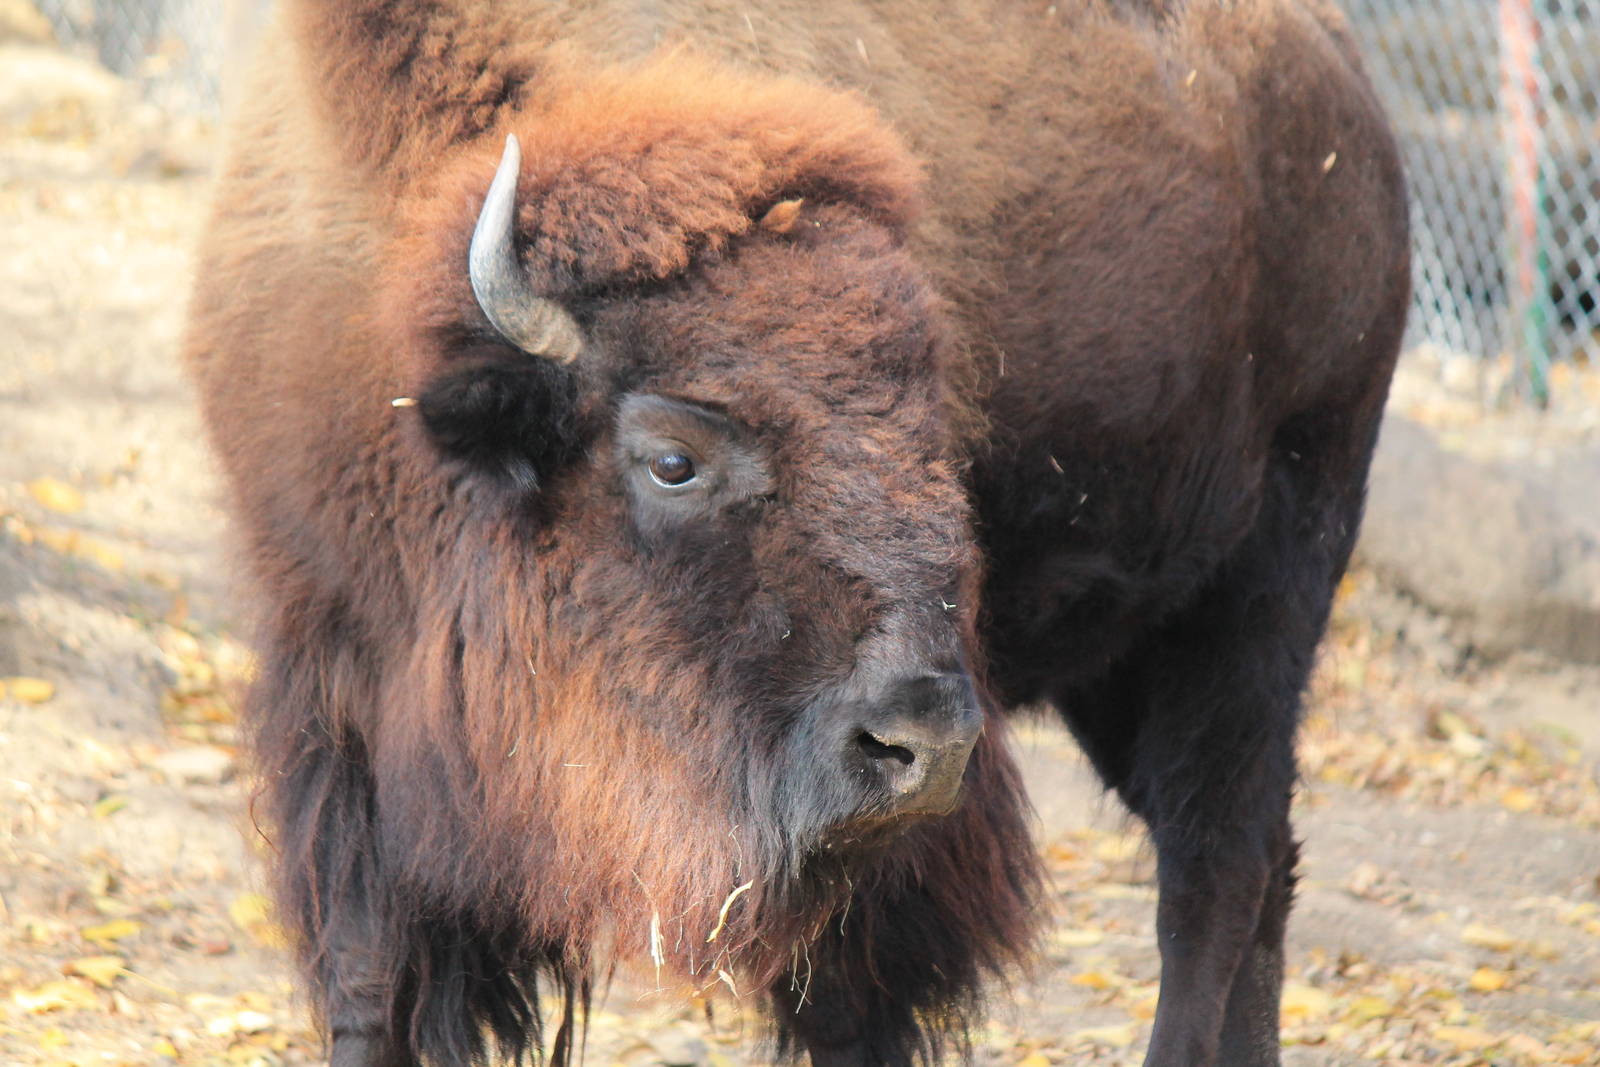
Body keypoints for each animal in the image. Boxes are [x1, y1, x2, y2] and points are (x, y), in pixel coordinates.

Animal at [183, 1, 1409, 1064]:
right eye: (673, 457)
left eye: (937, 422)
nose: (921, 742)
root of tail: (1342, 85)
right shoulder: (340, 694)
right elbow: (366, 981)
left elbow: (854, 1004)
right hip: (1121, 656)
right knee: (1257, 865)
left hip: (1262, 590)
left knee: (1215, 868)